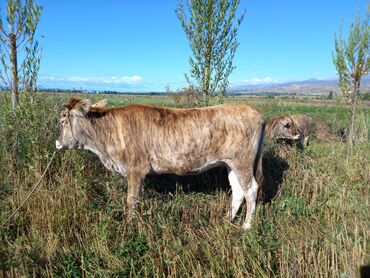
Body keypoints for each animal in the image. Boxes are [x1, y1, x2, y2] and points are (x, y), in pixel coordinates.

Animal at [55, 97, 266, 230]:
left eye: (63, 120)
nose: (57, 142)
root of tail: (254, 111)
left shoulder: (135, 169)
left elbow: (131, 199)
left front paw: (129, 224)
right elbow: (138, 198)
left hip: (242, 161)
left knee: (251, 189)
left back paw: (247, 225)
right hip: (230, 164)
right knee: (238, 191)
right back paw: (227, 220)